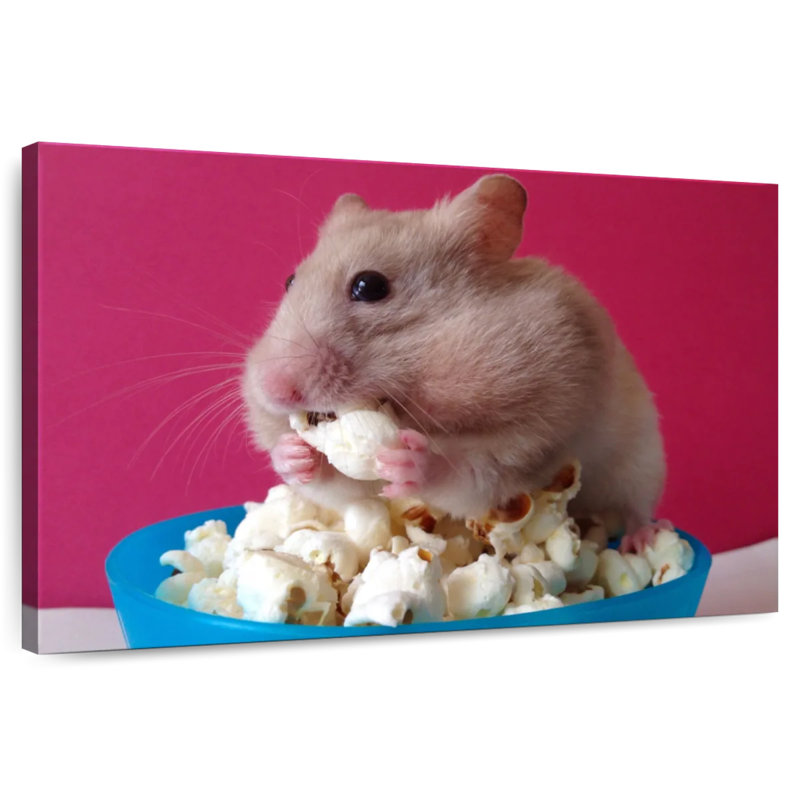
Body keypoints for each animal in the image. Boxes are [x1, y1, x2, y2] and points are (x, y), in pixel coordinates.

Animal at [242, 175, 666, 553]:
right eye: (289, 281)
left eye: (370, 286)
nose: (273, 389)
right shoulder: (359, 490)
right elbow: (343, 486)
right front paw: (294, 453)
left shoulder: (537, 435)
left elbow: (472, 473)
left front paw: (412, 460)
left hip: (641, 460)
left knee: (637, 507)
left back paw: (644, 542)